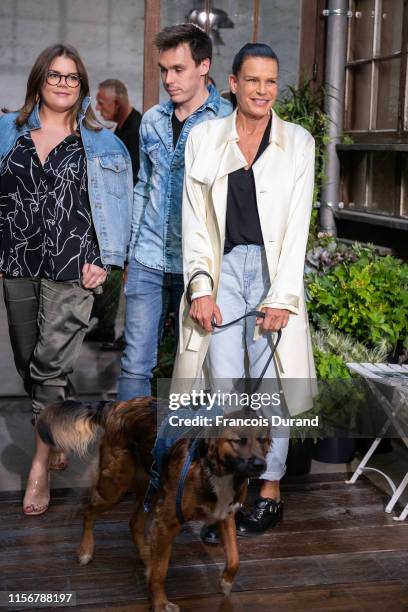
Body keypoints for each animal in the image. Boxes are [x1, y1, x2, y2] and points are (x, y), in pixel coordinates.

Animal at [38, 396, 270, 612]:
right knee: (89, 511)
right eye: (239, 440)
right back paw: (86, 551)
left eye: (263, 441)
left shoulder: (225, 514)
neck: (214, 469)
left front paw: (226, 581)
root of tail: (117, 405)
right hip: (116, 486)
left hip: (152, 487)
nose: (261, 465)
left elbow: (234, 559)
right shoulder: (167, 522)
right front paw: (160, 603)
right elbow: (160, 572)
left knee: (134, 522)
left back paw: (146, 555)